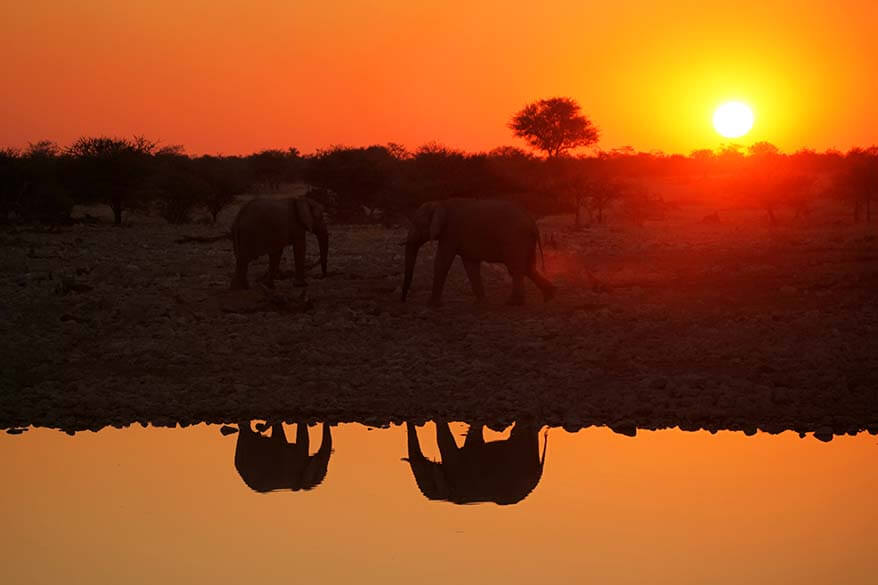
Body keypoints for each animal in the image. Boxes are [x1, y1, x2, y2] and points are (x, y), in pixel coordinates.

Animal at [400, 197, 552, 306]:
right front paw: (481, 303)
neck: (440, 203)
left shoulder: (450, 233)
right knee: (527, 267)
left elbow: (442, 262)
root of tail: (532, 221)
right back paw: (549, 296)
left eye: (416, 224)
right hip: (525, 241)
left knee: (516, 267)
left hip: (515, 239)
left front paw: (431, 305)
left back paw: (513, 303)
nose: (403, 301)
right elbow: (470, 265)